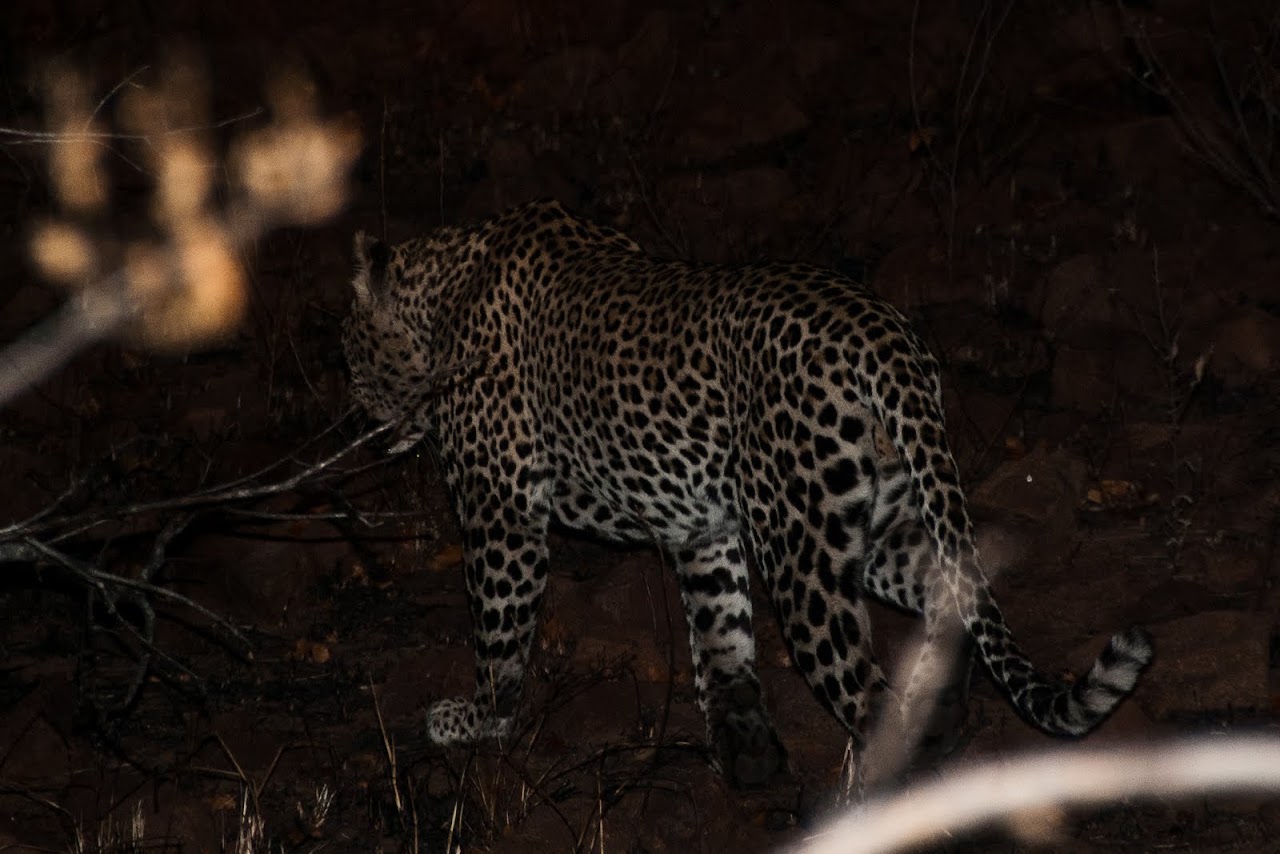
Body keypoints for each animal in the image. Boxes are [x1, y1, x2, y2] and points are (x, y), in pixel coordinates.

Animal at [341, 199, 1152, 788]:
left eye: (349, 357)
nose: (363, 425)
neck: (445, 291)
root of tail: (883, 335)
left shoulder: (501, 512)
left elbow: (500, 634)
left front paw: (476, 721)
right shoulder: (703, 531)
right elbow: (721, 637)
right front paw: (747, 750)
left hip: (803, 552)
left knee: (862, 686)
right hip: (865, 521)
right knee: (946, 597)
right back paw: (931, 722)